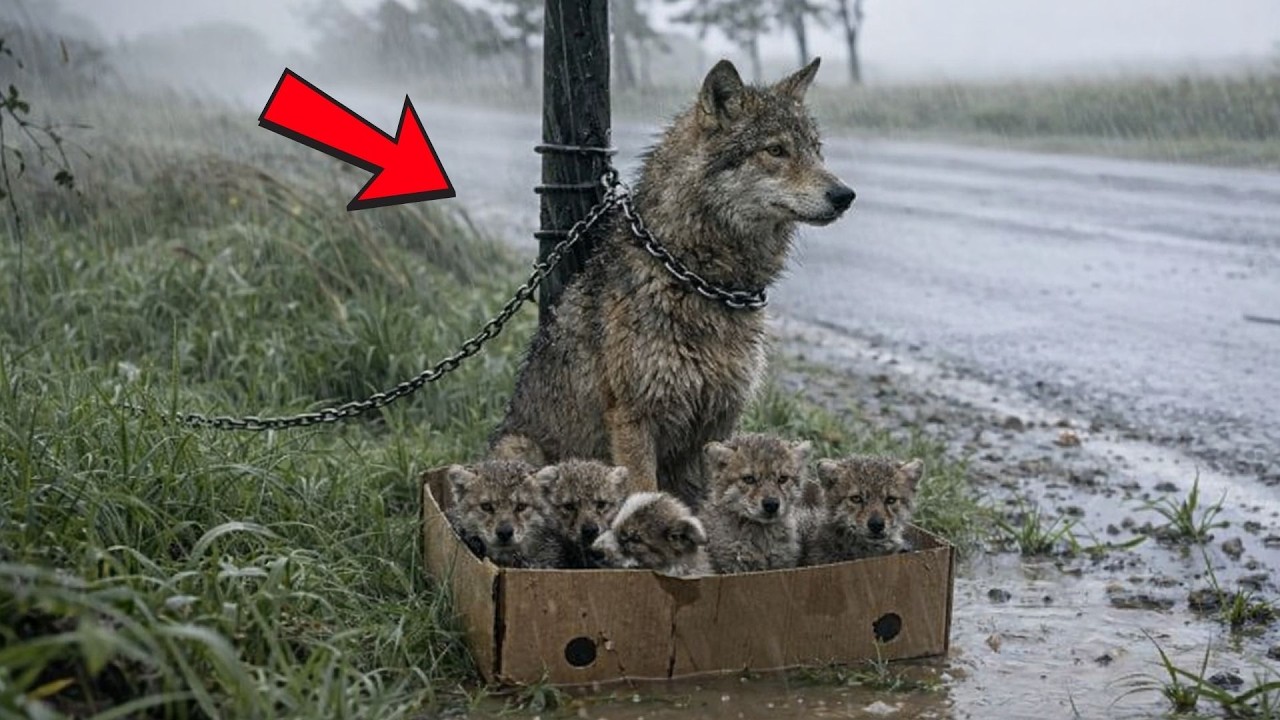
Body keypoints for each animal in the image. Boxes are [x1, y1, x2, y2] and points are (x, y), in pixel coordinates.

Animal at [489, 57, 855, 507]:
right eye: (776, 150)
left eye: (816, 151)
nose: (845, 195)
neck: (700, 279)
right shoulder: (634, 419)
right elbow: (645, 495)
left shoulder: (719, 422)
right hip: (520, 449)